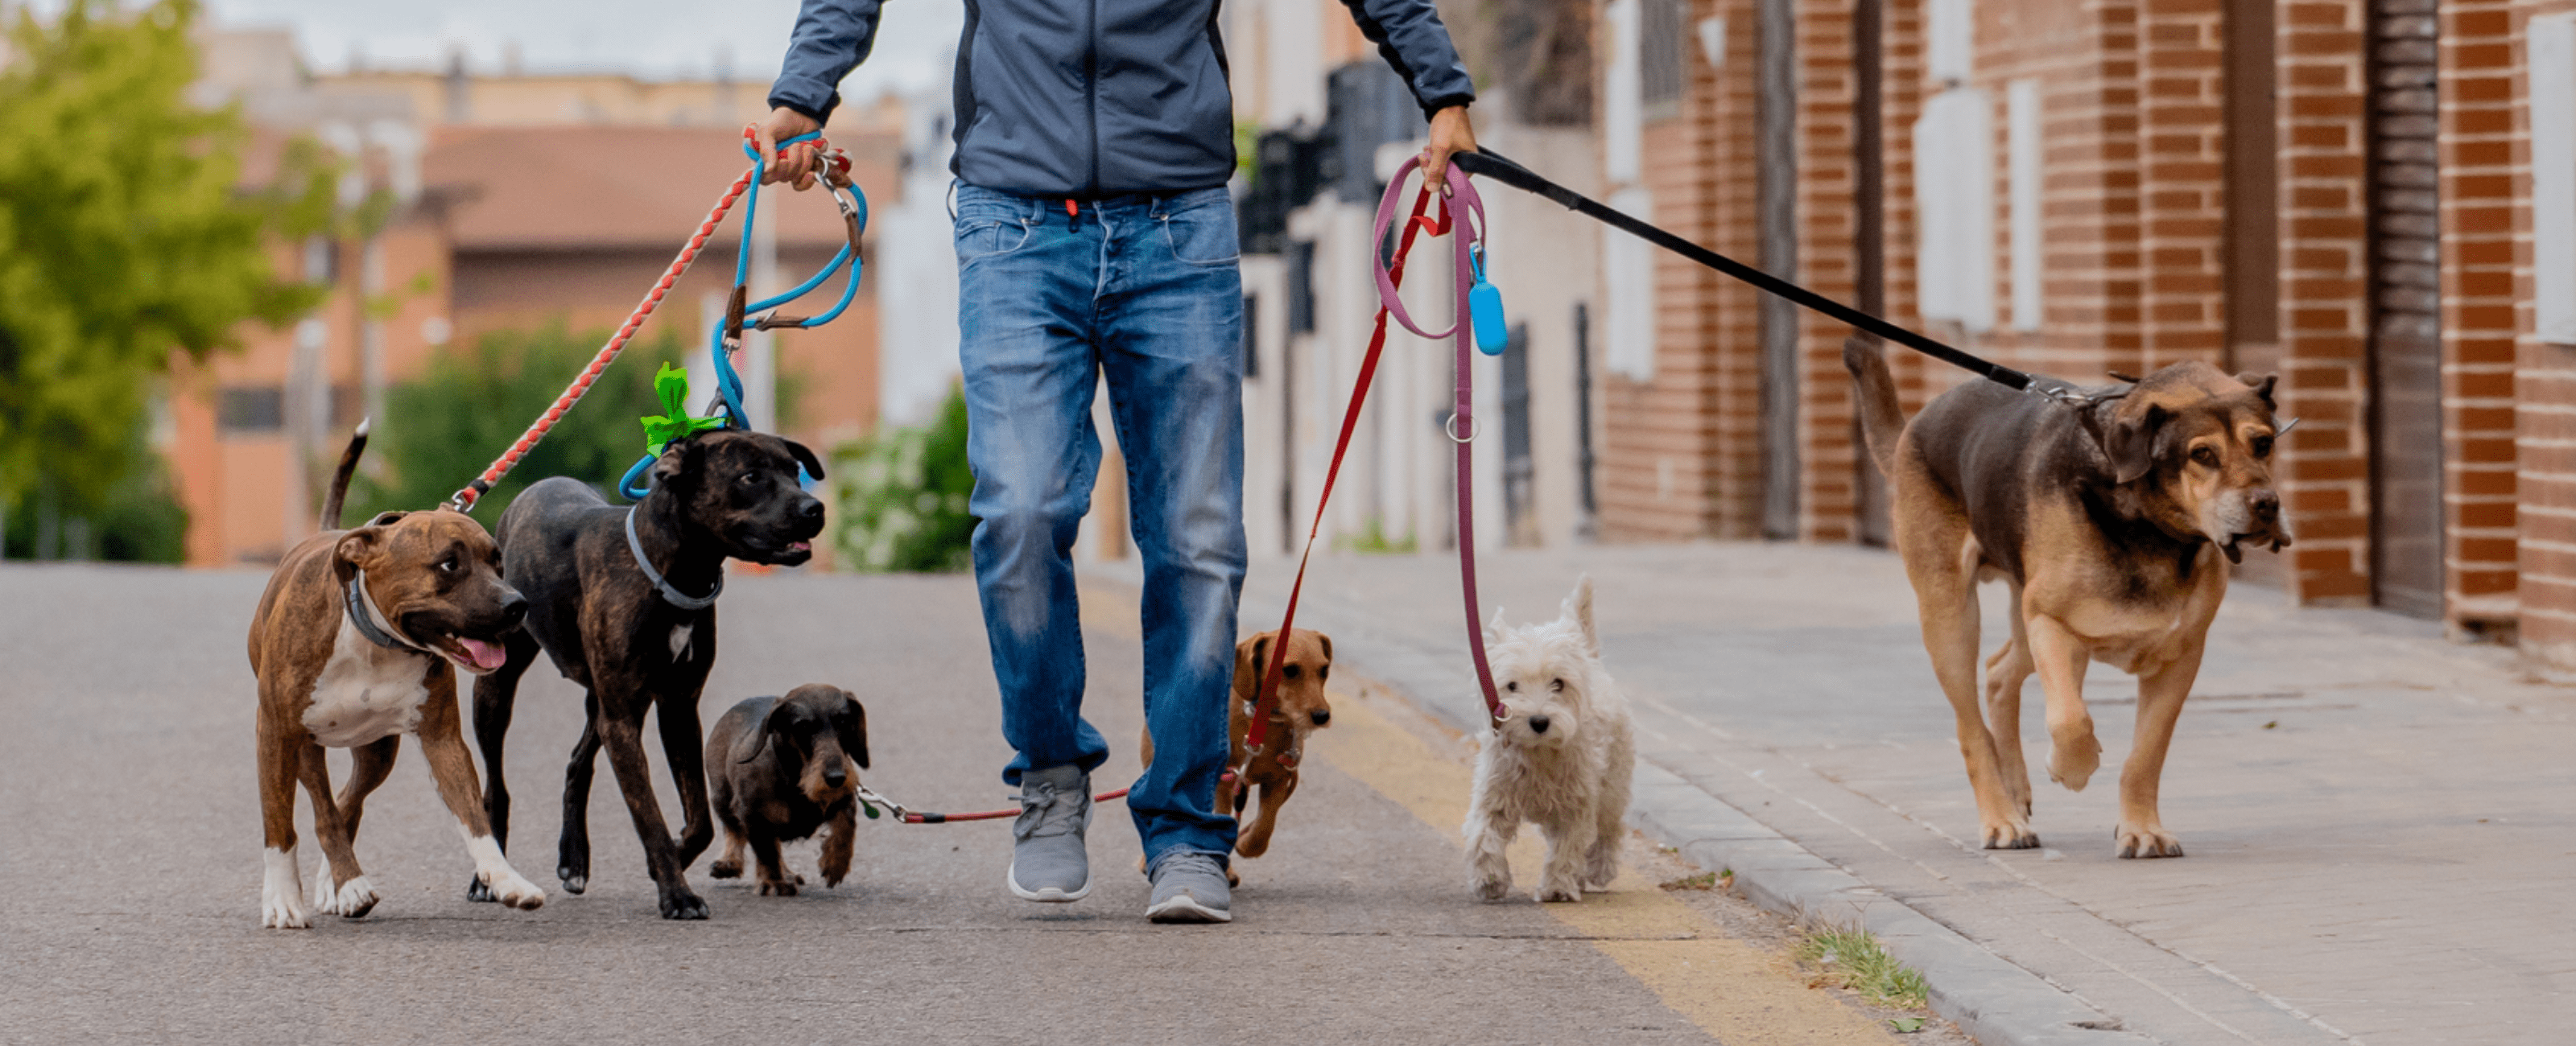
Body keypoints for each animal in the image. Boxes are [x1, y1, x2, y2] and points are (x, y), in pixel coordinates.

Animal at [469, 430, 819, 916]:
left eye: (793, 469)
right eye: (750, 476)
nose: (814, 509)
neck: (670, 571)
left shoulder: (676, 708)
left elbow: (700, 820)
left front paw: (670, 864)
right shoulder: (625, 718)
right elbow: (649, 815)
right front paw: (677, 894)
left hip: (601, 702)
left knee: (578, 763)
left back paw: (573, 860)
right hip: (498, 690)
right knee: (496, 788)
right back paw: (488, 877)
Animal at [1463, 577, 1638, 901]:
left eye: (1559, 684)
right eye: (1512, 686)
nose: (1539, 721)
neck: (1539, 752)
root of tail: (1591, 659)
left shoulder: (1576, 803)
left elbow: (1567, 848)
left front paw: (1556, 888)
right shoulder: (1494, 797)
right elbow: (1483, 838)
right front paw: (1490, 879)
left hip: (1613, 785)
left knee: (1610, 829)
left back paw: (1599, 868)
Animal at [1855, 340, 2297, 860]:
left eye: (2263, 443)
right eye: (2202, 454)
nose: (2266, 505)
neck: (2147, 523)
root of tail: (1915, 426)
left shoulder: (2181, 656)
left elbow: (2146, 754)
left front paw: (2142, 829)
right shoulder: (2051, 623)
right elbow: (2069, 718)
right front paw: (2072, 768)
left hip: (2027, 614)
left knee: (2000, 672)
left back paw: (2014, 788)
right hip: (1953, 616)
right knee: (1972, 725)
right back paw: (2001, 818)